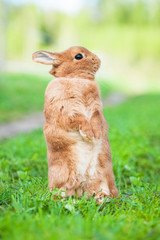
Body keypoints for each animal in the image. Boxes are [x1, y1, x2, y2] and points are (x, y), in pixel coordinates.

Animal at [32, 46, 119, 202]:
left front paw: (96, 135)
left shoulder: (96, 109)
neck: (76, 78)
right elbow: (79, 119)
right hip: (61, 176)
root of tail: (81, 190)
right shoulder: (65, 109)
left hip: (101, 177)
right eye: (79, 56)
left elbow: (96, 120)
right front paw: (89, 135)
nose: (98, 59)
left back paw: (100, 198)